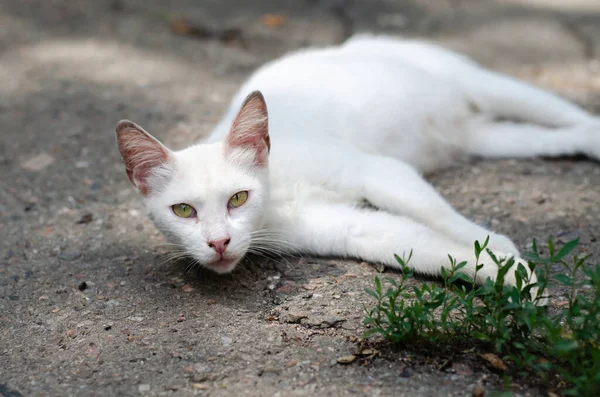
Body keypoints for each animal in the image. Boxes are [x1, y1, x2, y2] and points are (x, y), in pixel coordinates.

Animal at [116, 34, 600, 292]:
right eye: (183, 210)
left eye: (238, 198)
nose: (218, 243)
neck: (278, 194)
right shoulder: (345, 227)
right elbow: (415, 243)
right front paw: (508, 275)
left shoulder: (376, 170)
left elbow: (433, 212)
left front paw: (494, 244)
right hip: (489, 138)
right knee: (554, 136)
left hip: (482, 84)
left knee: (559, 111)